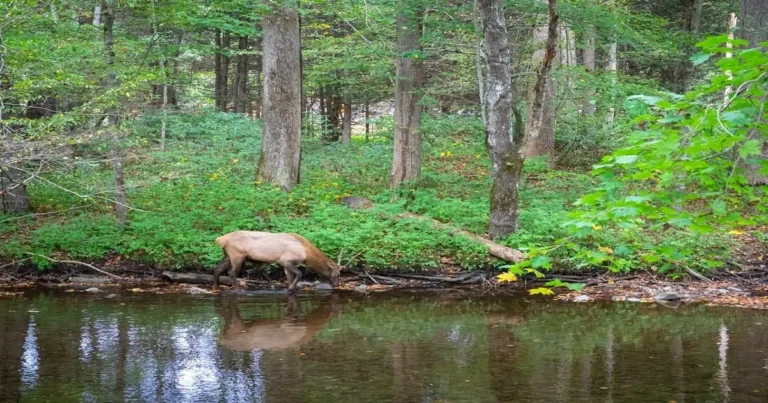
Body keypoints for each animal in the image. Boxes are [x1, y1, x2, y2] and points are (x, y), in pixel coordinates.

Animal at [212, 231, 342, 292]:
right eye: (337, 273)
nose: (337, 284)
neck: (306, 254)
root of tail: (220, 239)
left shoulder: (286, 265)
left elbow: (290, 278)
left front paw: (291, 289)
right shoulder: (285, 260)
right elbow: (300, 274)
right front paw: (291, 288)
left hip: (228, 256)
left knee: (217, 268)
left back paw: (216, 287)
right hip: (237, 255)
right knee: (231, 273)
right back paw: (238, 290)